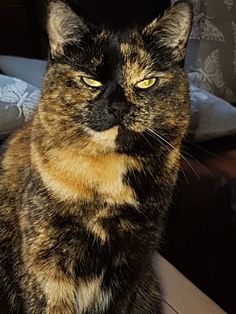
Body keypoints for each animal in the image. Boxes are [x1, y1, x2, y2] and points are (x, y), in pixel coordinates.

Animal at [0, 1, 192, 312]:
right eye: (91, 80)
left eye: (146, 82)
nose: (117, 107)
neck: (108, 179)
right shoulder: (46, 268)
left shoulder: (132, 266)